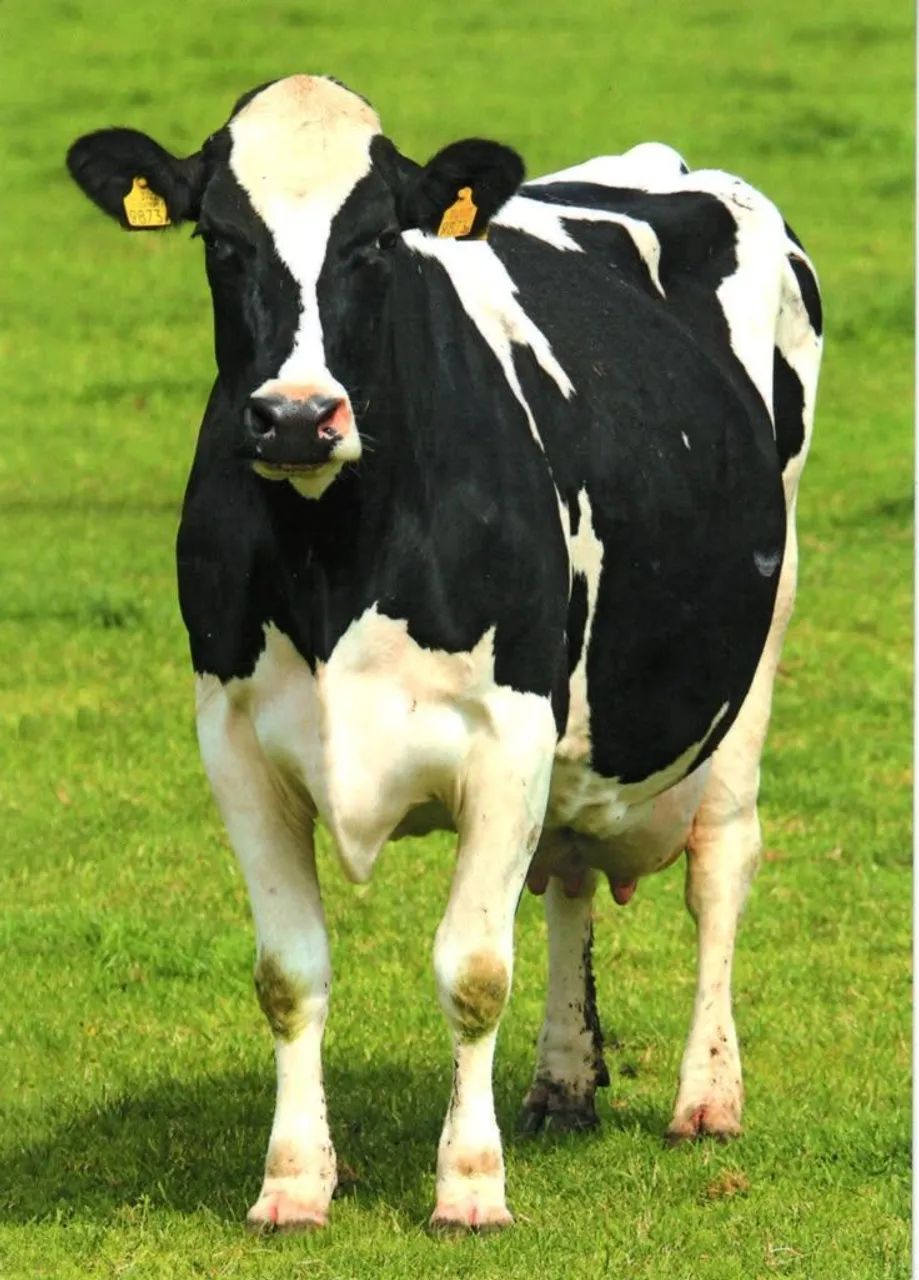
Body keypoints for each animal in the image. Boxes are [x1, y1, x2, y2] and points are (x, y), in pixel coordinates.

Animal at [66, 73, 822, 1233]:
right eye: (221, 239)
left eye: (378, 239)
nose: (296, 416)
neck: (335, 554)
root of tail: (662, 164)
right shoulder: (232, 739)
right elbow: (289, 972)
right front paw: (294, 1180)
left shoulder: (506, 731)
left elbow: (471, 970)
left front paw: (469, 1185)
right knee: (566, 870)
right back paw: (562, 1084)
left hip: (754, 655)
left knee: (720, 863)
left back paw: (706, 1095)